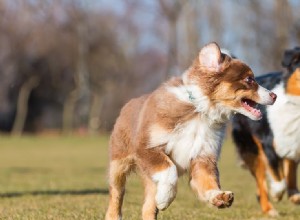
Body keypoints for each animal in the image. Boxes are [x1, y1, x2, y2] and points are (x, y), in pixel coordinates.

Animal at [105, 42, 276, 219]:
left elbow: (208, 182)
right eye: (249, 79)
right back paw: (115, 214)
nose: (274, 95)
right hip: (118, 163)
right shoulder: (147, 147)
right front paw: (165, 198)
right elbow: (169, 170)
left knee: (148, 206)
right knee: (116, 193)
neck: (200, 111)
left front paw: (219, 197)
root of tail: (127, 104)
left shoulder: (203, 156)